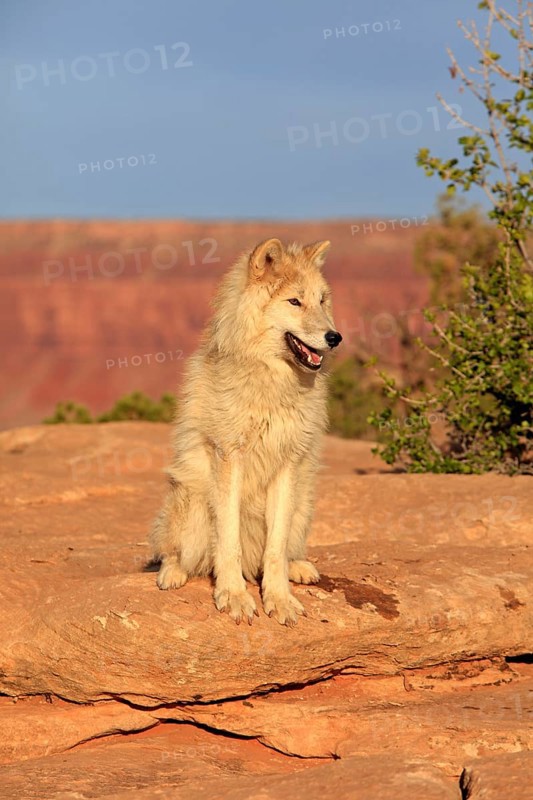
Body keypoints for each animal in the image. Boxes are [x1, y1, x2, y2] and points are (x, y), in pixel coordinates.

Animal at [149, 238, 342, 626]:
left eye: (322, 300)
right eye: (294, 302)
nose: (335, 337)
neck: (273, 383)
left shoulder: (287, 464)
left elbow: (276, 549)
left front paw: (279, 599)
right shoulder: (229, 457)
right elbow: (229, 543)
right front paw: (234, 596)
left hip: (304, 503)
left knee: (287, 548)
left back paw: (299, 566)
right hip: (191, 504)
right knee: (174, 552)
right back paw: (172, 574)